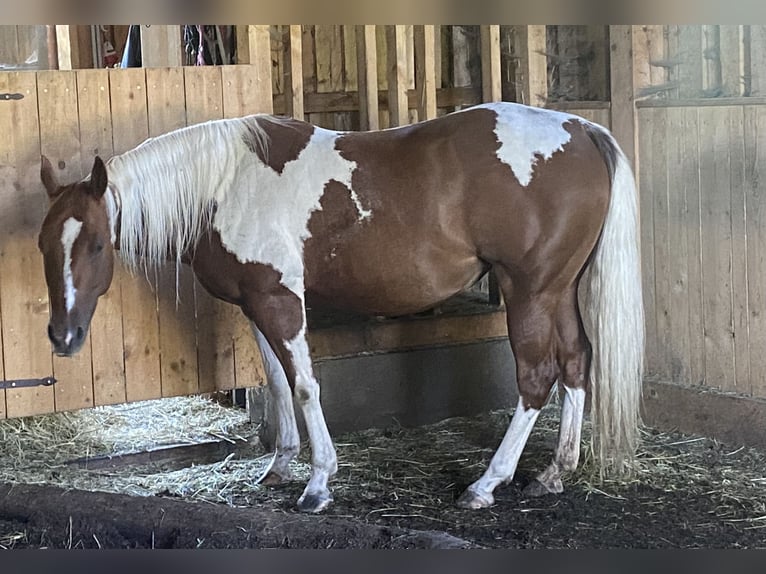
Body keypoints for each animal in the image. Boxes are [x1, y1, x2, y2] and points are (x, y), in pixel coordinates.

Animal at [39, 102, 644, 512]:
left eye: (96, 244)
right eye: (44, 243)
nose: (63, 337)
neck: (226, 185)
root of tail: (582, 130)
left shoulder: (281, 302)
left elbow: (305, 386)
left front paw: (318, 483)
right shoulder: (256, 304)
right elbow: (277, 383)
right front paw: (279, 466)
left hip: (529, 292)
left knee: (536, 377)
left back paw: (485, 484)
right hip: (558, 290)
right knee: (576, 364)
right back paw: (553, 472)